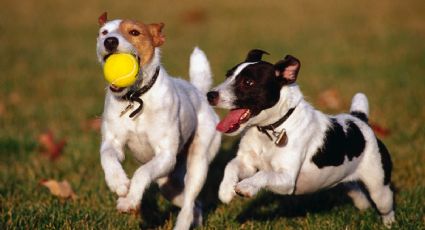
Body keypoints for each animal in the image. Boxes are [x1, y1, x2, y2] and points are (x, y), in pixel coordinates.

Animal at [96, 13, 222, 229]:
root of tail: (198, 91)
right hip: (168, 184)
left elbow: (142, 172)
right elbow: (108, 157)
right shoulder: (113, 142)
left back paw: (182, 224)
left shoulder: (165, 155)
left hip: (198, 163)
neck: (136, 98)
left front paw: (129, 200)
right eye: (104, 32)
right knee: (194, 204)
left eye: (134, 32)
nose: (110, 41)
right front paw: (118, 183)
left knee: (189, 202)